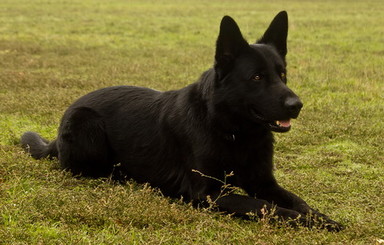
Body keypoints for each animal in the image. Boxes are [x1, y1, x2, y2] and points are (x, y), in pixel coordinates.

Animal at [21, 11, 344, 230]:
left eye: (282, 74)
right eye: (256, 77)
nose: (297, 106)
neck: (232, 131)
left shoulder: (263, 182)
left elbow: (295, 200)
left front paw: (321, 218)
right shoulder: (210, 194)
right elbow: (265, 206)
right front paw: (305, 220)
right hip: (87, 126)